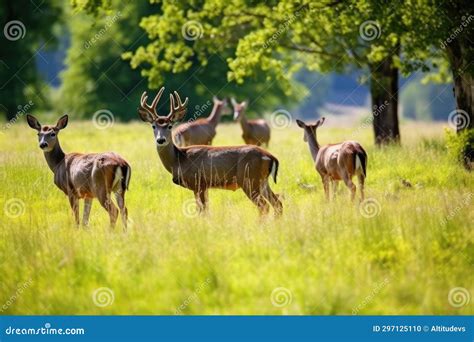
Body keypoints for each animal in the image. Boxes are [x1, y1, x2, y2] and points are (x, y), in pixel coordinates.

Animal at [139, 88, 284, 216]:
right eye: (153, 126)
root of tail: (270, 156)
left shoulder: (198, 183)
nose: (161, 140)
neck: (178, 160)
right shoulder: (204, 186)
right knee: (277, 203)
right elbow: (206, 209)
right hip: (262, 181)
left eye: (170, 126)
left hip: (249, 179)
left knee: (264, 206)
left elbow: (202, 210)